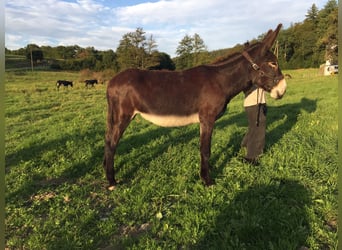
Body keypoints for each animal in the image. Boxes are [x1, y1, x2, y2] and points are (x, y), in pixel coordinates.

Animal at [103, 23, 286, 189]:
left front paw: (205, 174)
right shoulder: (207, 118)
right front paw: (207, 180)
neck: (221, 81)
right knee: (111, 144)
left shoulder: (203, 120)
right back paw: (112, 181)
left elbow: (203, 148)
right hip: (123, 116)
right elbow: (205, 150)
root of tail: (111, 81)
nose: (283, 90)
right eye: (273, 63)